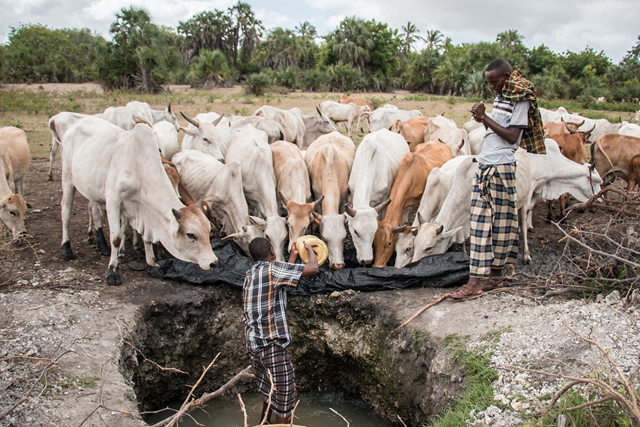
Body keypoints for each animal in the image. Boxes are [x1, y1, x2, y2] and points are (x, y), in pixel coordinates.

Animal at [61, 117, 219, 286]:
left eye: (208, 230)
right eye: (191, 235)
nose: (213, 262)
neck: (139, 168)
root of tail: (78, 122)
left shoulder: (142, 209)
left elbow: (146, 236)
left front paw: (152, 264)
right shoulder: (113, 201)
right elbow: (116, 238)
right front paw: (113, 271)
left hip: (92, 189)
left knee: (95, 212)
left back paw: (101, 244)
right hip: (68, 179)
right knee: (66, 212)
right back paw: (66, 249)